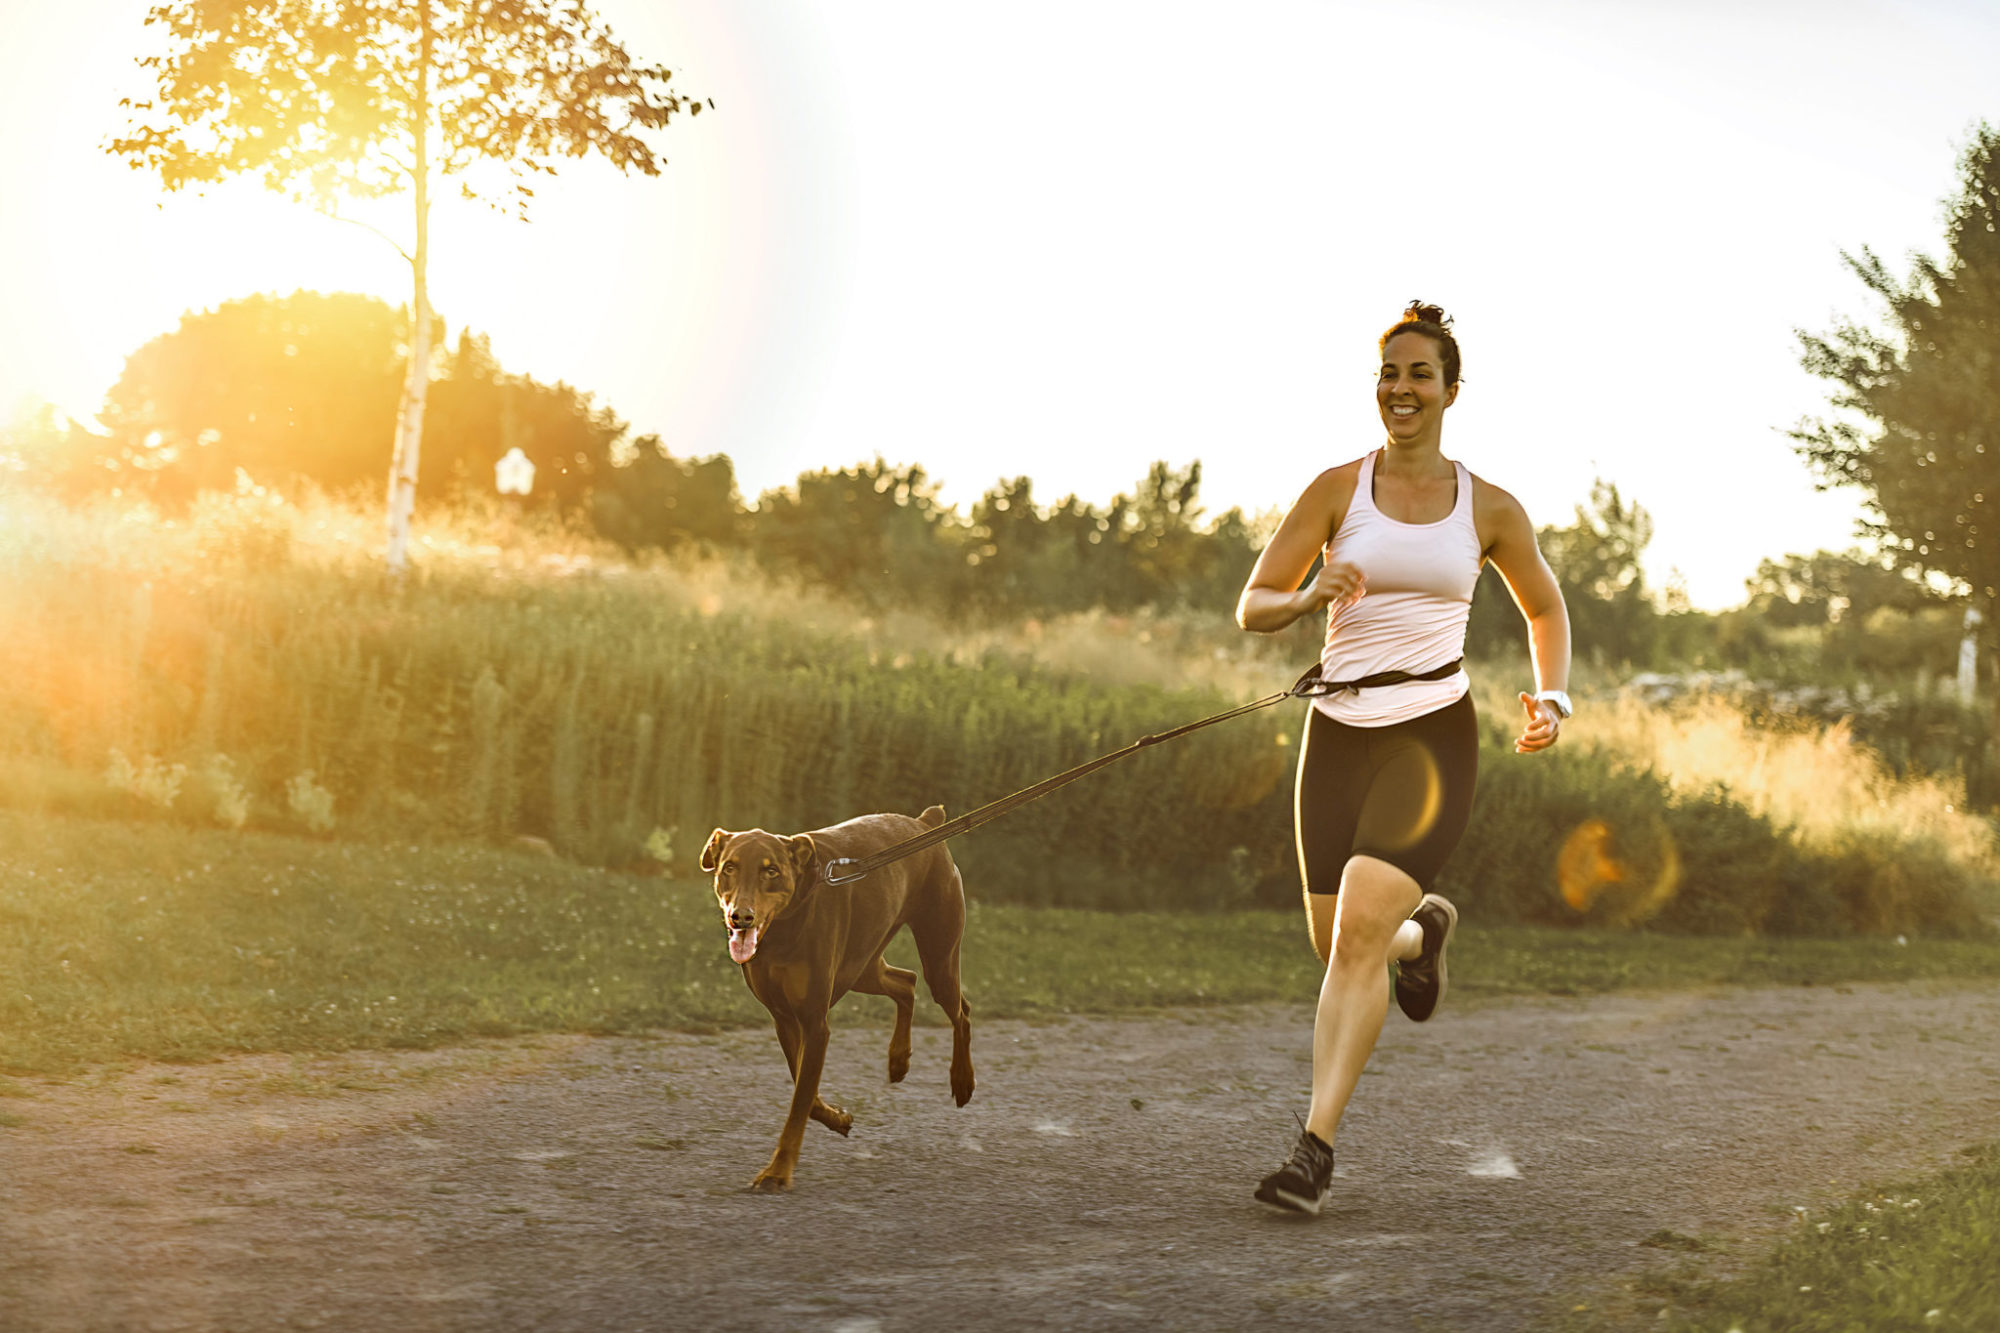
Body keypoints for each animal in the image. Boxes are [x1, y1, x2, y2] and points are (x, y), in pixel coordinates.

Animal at [704, 804, 976, 1184]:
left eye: (771, 870)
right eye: (729, 867)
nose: (741, 917)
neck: (783, 930)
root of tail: (925, 822)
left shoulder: (815, 1021)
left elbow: (800, 1103)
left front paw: (778, 1172)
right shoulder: (785, 1018)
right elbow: (804, 1089)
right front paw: (838, 1119)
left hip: (938, 954)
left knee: (961, 1011)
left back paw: (962, 1080)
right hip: (862, 966)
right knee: (906, 983)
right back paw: (898, 1059)